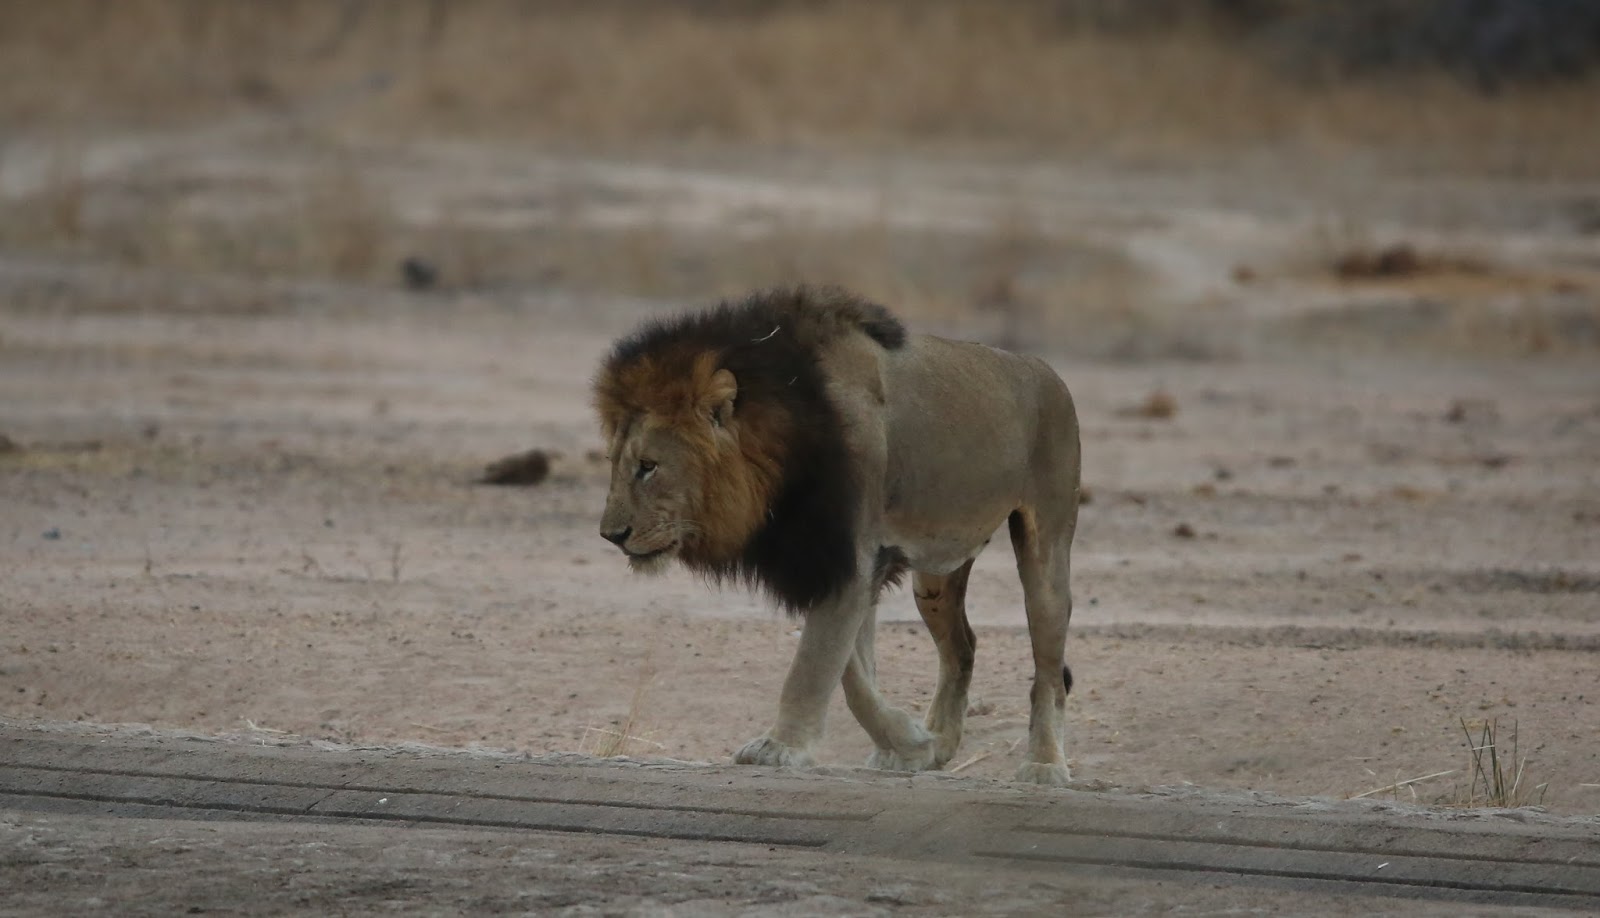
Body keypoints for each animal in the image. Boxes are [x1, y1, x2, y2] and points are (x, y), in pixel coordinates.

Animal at [593, 286, 1080, 784]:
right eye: (615, 462)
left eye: (648, 466)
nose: (611, 534)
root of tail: (1044, 368)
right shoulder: (834, 561)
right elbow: (851, 670)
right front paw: (909, 744)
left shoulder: (851, 557)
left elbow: (815, 664)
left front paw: (781, 746)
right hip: (935, 578)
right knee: (962, 648)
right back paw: (942, 743)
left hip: (1046, 544)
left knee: (1047, 668)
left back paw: (1044, 764)